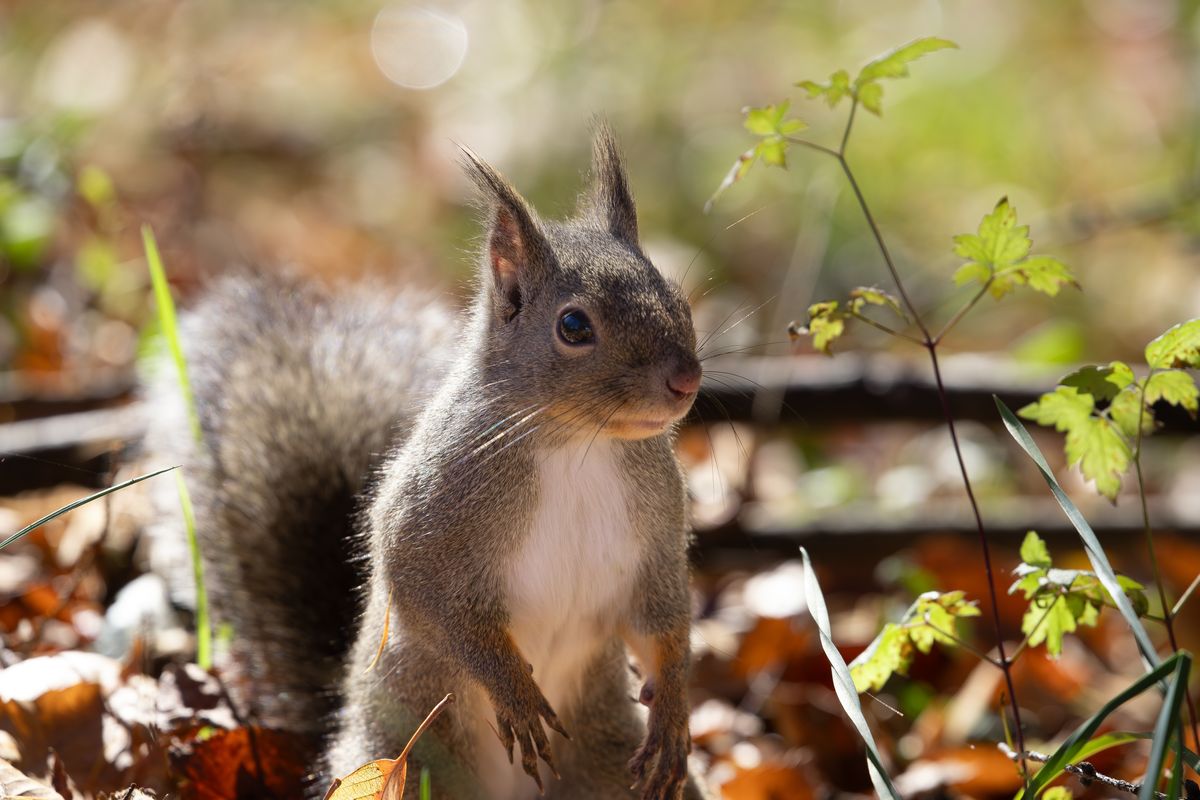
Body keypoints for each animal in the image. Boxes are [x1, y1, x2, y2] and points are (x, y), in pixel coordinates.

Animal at [144, 125, 707, 800]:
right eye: (574, 325)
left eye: (679, 298)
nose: (685, 380)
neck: (580, 447)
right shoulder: (430, 517)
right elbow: (434, 605)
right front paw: (514, 693)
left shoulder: (656, 536)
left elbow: (661, 620)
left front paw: (673, 710)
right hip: (408, 762)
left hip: (606, 761)